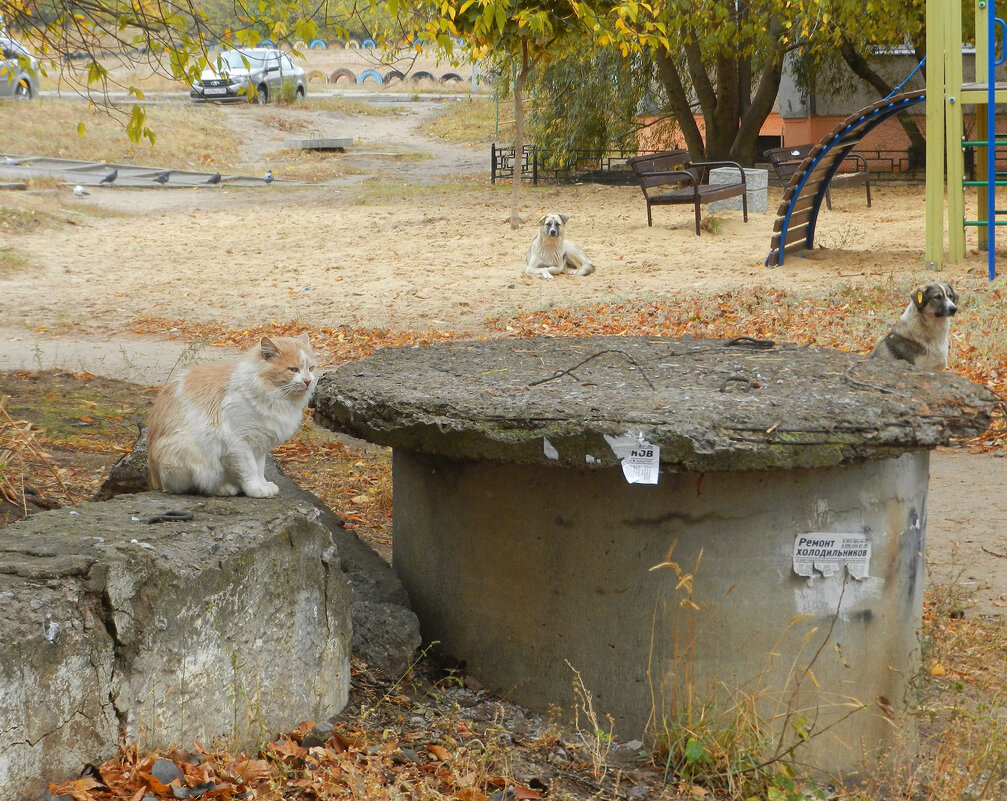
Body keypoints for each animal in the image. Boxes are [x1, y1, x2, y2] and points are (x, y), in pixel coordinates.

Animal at [146, 332, 316, 495]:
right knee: (195, 486)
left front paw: (263, 484)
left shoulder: (260, 446)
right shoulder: (238, 443)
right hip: (187, 454)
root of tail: (156, 481)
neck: (274, 397)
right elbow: (250, 470)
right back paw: (224, 488)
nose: (308, 381)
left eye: (311, 369)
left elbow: (259, 469)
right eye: (293, 369)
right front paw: (256, 488)